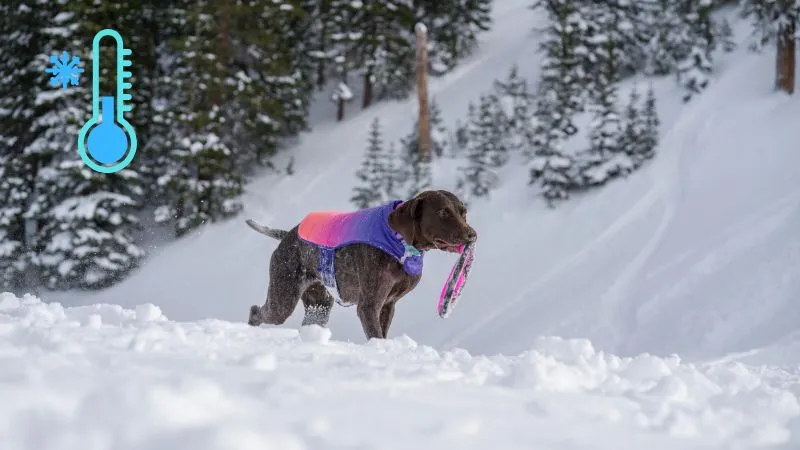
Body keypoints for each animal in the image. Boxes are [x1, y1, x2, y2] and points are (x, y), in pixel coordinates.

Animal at [247, 190, 478, 342]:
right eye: (443, 212)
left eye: (463, 212)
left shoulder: (388, 305)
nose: (472, 235)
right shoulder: (369, 306)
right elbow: (376, 335)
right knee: (257, 311)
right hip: (282, 301)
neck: (399, 242)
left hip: (319, 307)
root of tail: (287, 236)